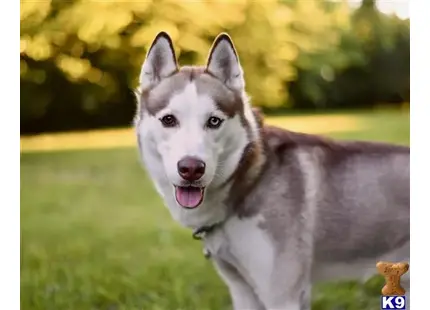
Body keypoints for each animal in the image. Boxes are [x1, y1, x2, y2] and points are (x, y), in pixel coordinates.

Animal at [134, 32, 410, 310]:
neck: (250, 180)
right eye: (169, 120)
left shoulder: (283, 294)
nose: (192, 168)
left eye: (214, 121)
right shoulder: (242, 291)